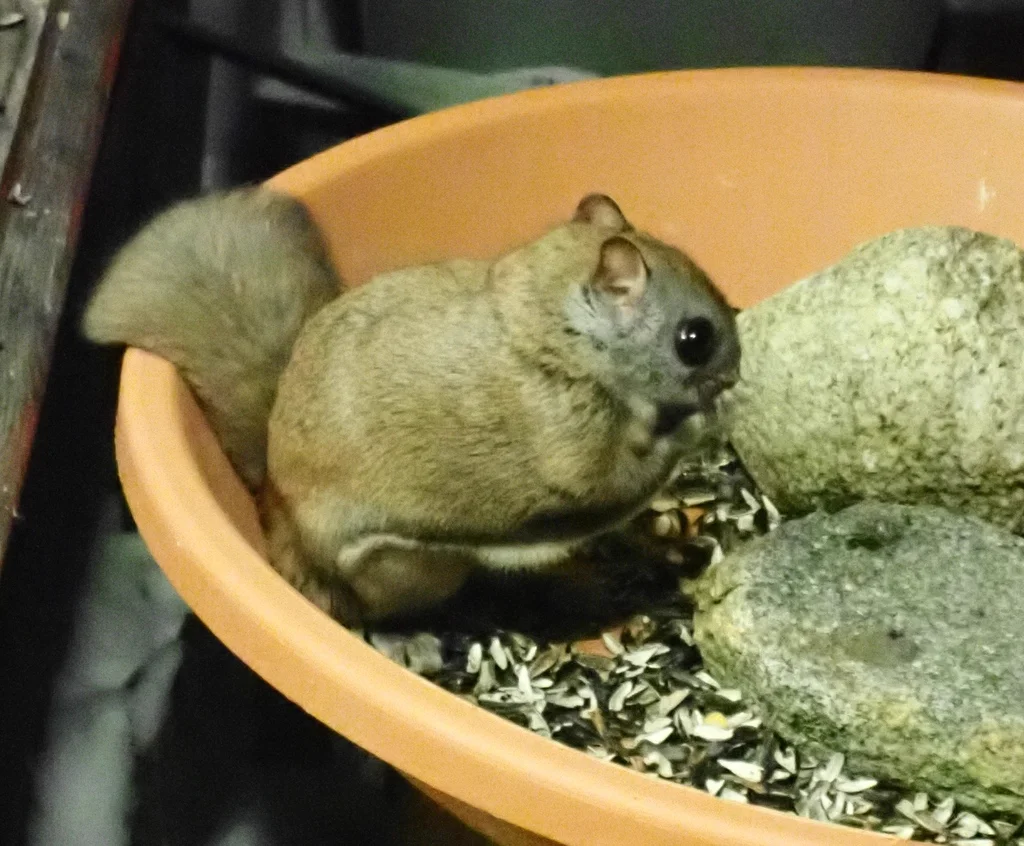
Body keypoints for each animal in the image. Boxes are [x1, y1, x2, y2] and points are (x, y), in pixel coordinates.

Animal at [84, 187, 740, 627]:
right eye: (694, 339)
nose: (736, 369)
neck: (553, 326)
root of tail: (275, 500)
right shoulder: (571, 443)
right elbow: (623, 477)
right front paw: (705, 422)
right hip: (404, 567)